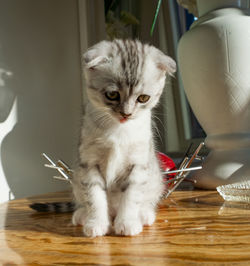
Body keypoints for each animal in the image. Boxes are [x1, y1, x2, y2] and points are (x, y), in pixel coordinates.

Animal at [70, 39, 176, 237]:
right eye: (112, 94)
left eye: (143, 98)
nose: (126, 114)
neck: (118, 130)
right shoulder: (89, 162)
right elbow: (94, 195)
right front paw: (96, 223)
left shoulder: (138, 163)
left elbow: (131, 195)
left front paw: (127, 223)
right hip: (77, 178)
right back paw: (82, 215)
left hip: (155, 180)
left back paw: (144, 214)